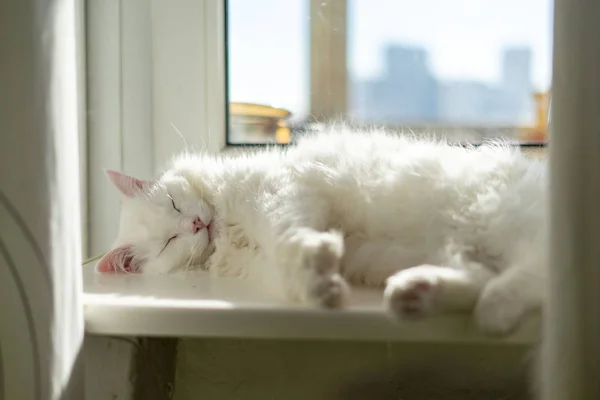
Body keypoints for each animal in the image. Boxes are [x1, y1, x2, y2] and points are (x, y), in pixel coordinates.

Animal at [95, 127, 548, 334]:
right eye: (169, 241)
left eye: (174, 203)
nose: (195, 223)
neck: (226, 228)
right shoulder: (266, 261)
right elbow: (292, 266)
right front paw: (321, 286)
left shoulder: (285, 195)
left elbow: (290, 237)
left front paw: (320, 266)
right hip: (459, 244)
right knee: (484, 276)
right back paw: (416, 294)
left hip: (495, 214)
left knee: (534, 269)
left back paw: (492, 309)